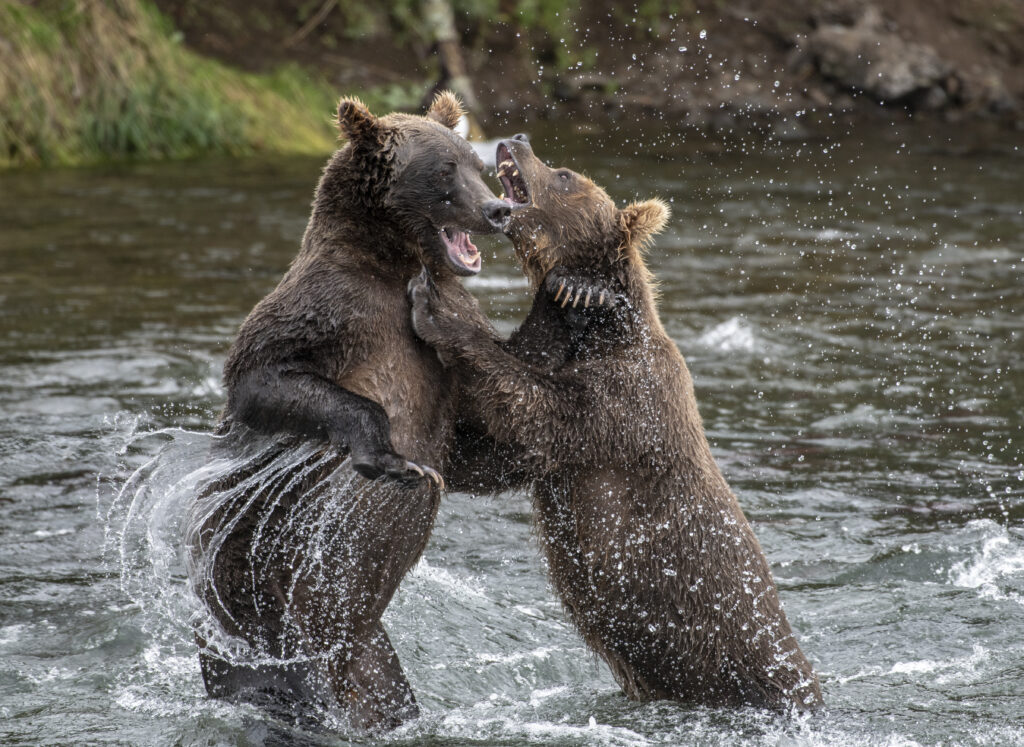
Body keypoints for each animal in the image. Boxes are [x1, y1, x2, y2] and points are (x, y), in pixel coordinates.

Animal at [185, 91, 512, 729]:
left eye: (476, 163)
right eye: (445, 171)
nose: (499, 209)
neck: (394, 264)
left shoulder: (441, 341)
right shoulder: (331, 311)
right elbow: (262, 378)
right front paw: (395, 461)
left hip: (358, 641)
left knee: (376, 678)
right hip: (257, 587)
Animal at [409, 135, 823, 709]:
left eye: (563, 174)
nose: (517, 140)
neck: (608, 335)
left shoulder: (627, 401)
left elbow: (539, 413)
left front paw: (442, 312)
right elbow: (499, 454)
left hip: (734, 654)